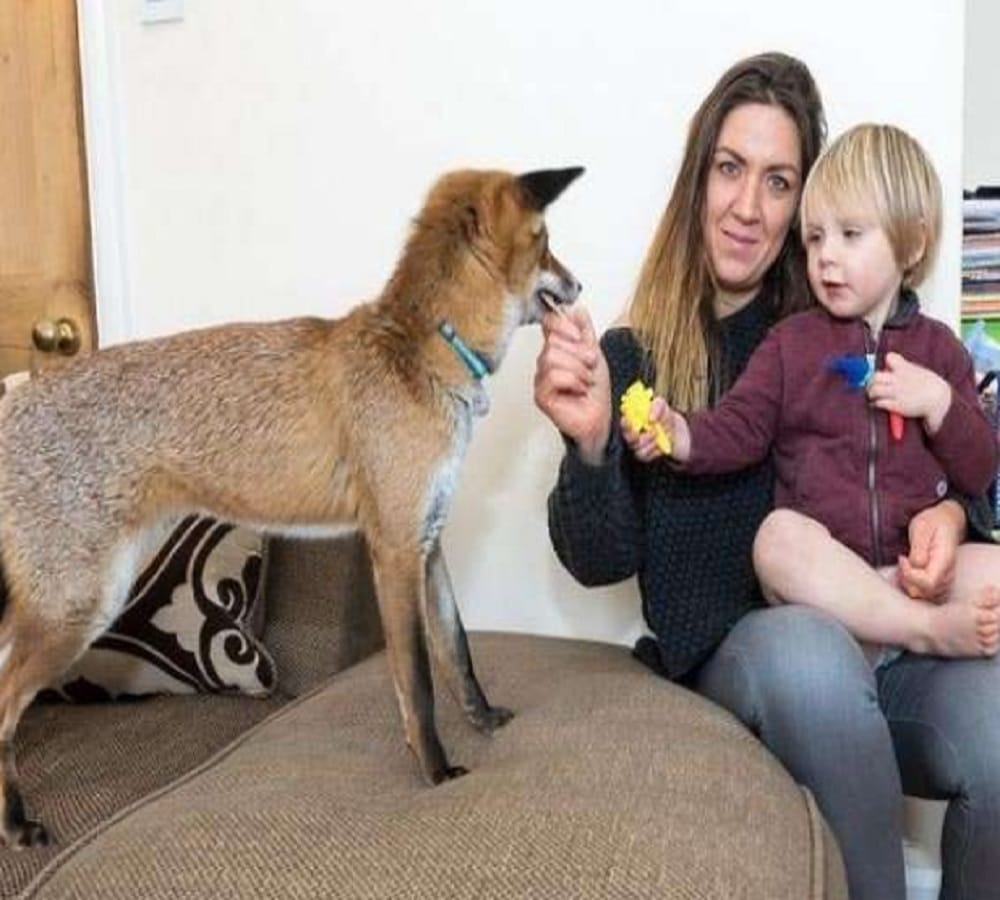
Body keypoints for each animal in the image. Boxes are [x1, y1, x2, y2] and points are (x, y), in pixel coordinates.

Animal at [0, 165, 584, 848]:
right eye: (547, 244)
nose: (580, 285)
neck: (421, 357)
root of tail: (15, 402)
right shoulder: (393, 552)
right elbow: (417, 681)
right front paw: (436, 772)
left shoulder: (427, 540)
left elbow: (457, 652)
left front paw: (485, 720)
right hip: (80, 608)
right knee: (4, 706)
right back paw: (15, 824)